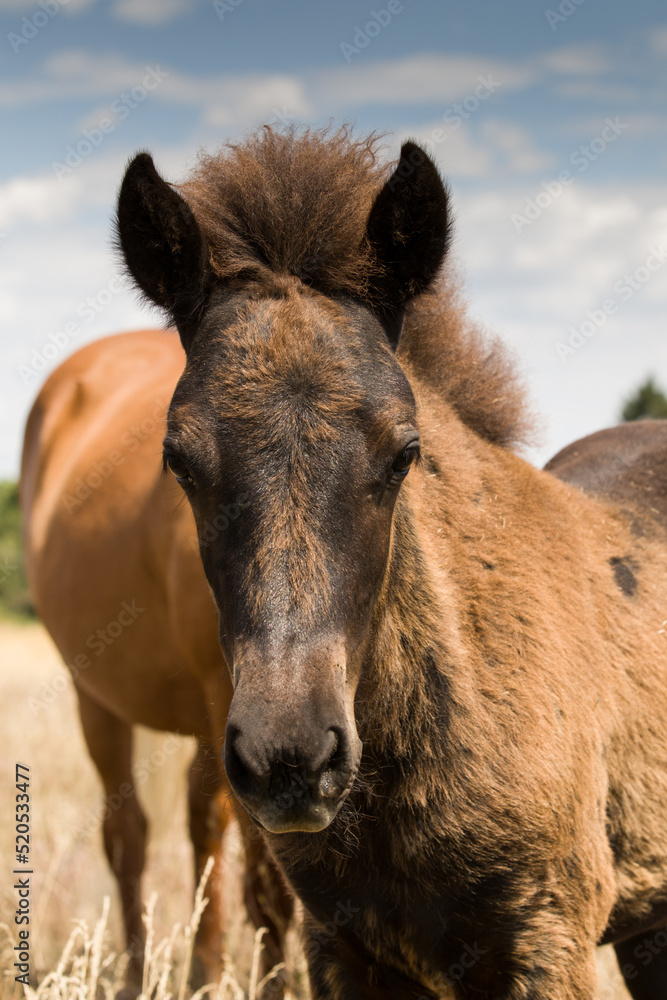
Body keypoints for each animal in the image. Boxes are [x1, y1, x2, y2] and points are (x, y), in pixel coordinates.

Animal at [20, 329, 294, 995]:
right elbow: (270, 885)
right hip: (99, 698)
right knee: (129, 837)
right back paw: (138, 973)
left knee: (203, 827)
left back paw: (203, 970)